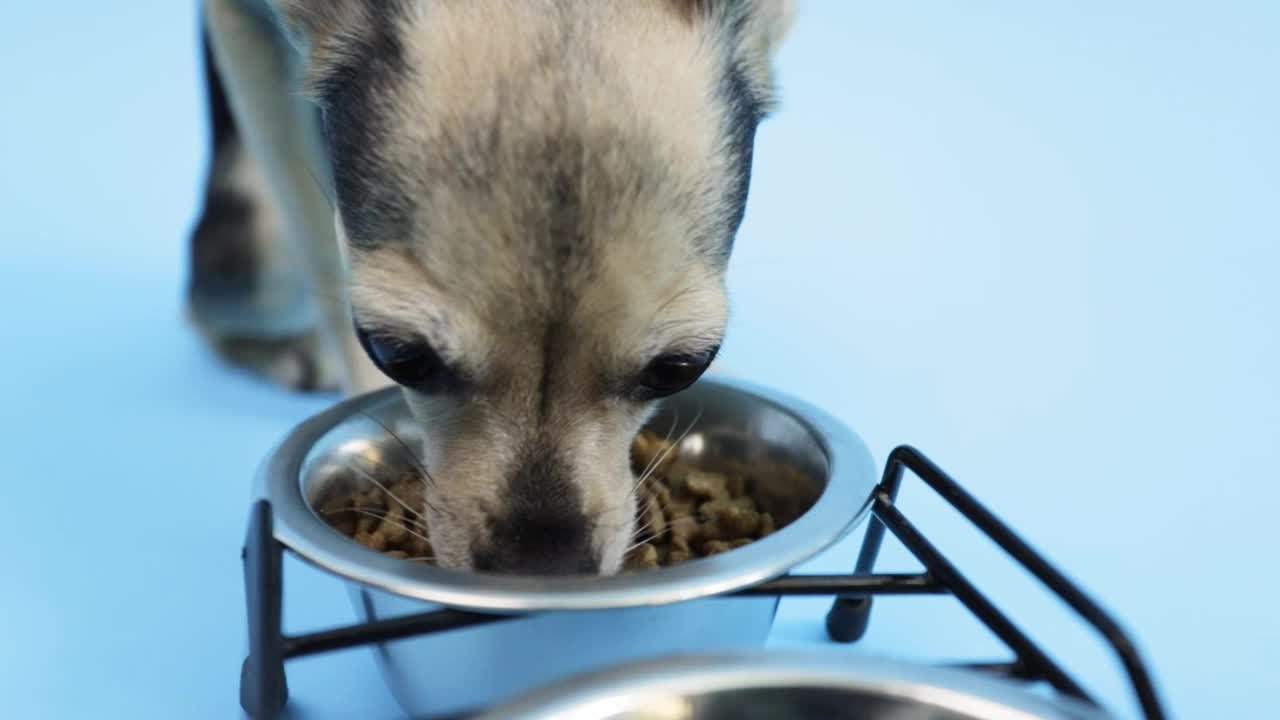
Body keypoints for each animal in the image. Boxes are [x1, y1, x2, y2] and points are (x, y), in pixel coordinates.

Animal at [186, 0, 788, 571]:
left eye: (681, 368)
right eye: (396, 355)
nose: (542, 566)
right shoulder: (245, 33)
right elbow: (322, 257)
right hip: (266, 254)